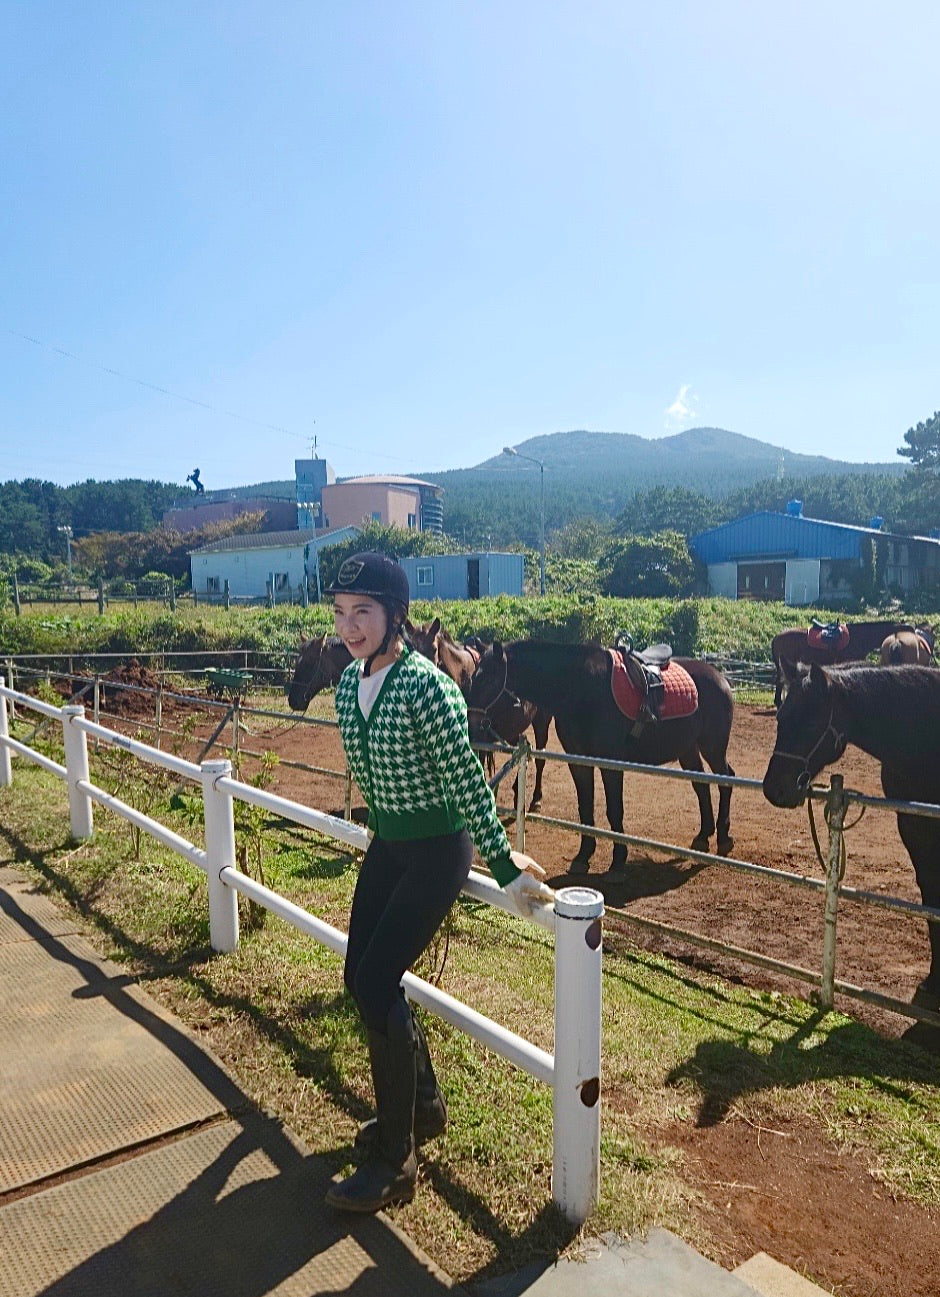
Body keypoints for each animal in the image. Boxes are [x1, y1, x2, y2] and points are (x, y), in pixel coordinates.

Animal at [466, 640, 736, 872]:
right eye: (473, 678)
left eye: (487, 681)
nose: (471, 725)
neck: (581, 688)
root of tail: (719, 677)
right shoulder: (579, 761)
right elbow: (585, 808)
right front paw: (583, 856)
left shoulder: (610, 762)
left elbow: (614, 809)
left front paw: (618, 860)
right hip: (688, 749)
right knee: (702, 786)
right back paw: (703, 836)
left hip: (712, 747)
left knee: (726, 780)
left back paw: (723, 838)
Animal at [763, 659, 940, 1016]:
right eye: (781, 718)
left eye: (811, 721)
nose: (774, 789)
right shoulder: (915, 832)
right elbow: (931, 899)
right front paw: (934, 980)